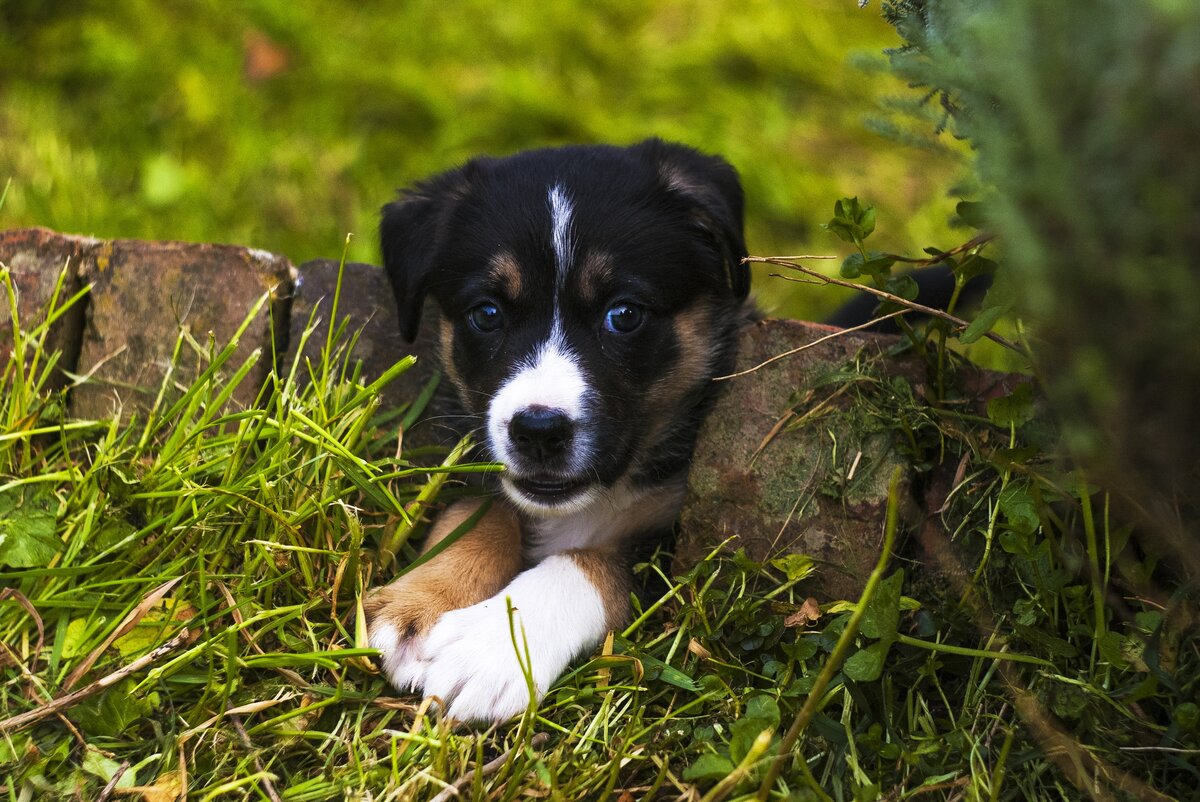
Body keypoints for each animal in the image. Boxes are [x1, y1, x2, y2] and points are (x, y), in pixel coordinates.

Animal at [360, 141, 748, 725]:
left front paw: (491, 649)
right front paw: (421, 604)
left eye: (624, 314)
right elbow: (479, 513)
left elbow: (588, 561)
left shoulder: (679, 546)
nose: (538, 430)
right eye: (486, 313)